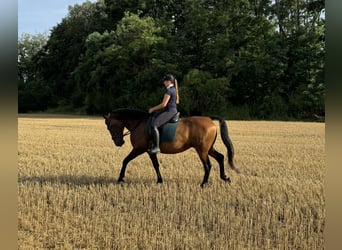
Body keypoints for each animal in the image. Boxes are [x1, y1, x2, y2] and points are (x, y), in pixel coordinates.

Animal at [103, 108, 239, 187]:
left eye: (110, 126)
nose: (118, 142)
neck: (139, 123)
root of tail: (209, 119)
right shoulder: (148, 151)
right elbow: (155, 165)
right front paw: (159, 181)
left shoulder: (140, 149)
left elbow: (126, 161)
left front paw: (120, 178)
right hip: (208, 149)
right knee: (220, 157)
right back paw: (225, 178)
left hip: (202, 150)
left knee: (207, 165)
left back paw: (203, 184)